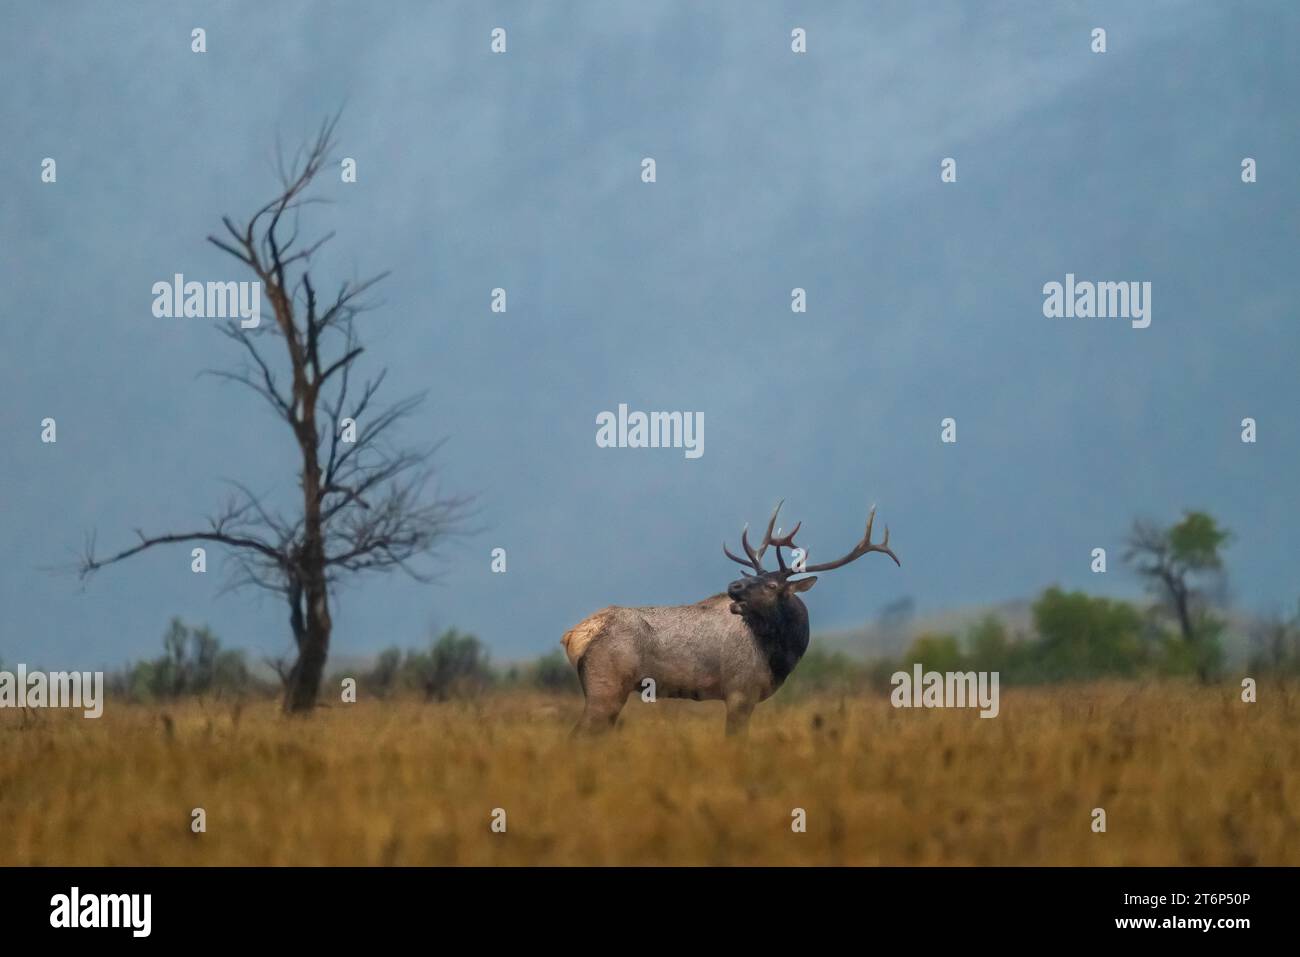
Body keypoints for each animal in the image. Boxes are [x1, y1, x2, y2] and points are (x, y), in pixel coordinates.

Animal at [564, 504, 899, 738]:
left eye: (771, 584)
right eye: (757, 578)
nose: (733, 586)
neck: (779, 655)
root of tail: (574, 635)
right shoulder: (740, 692)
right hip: (606, 688)